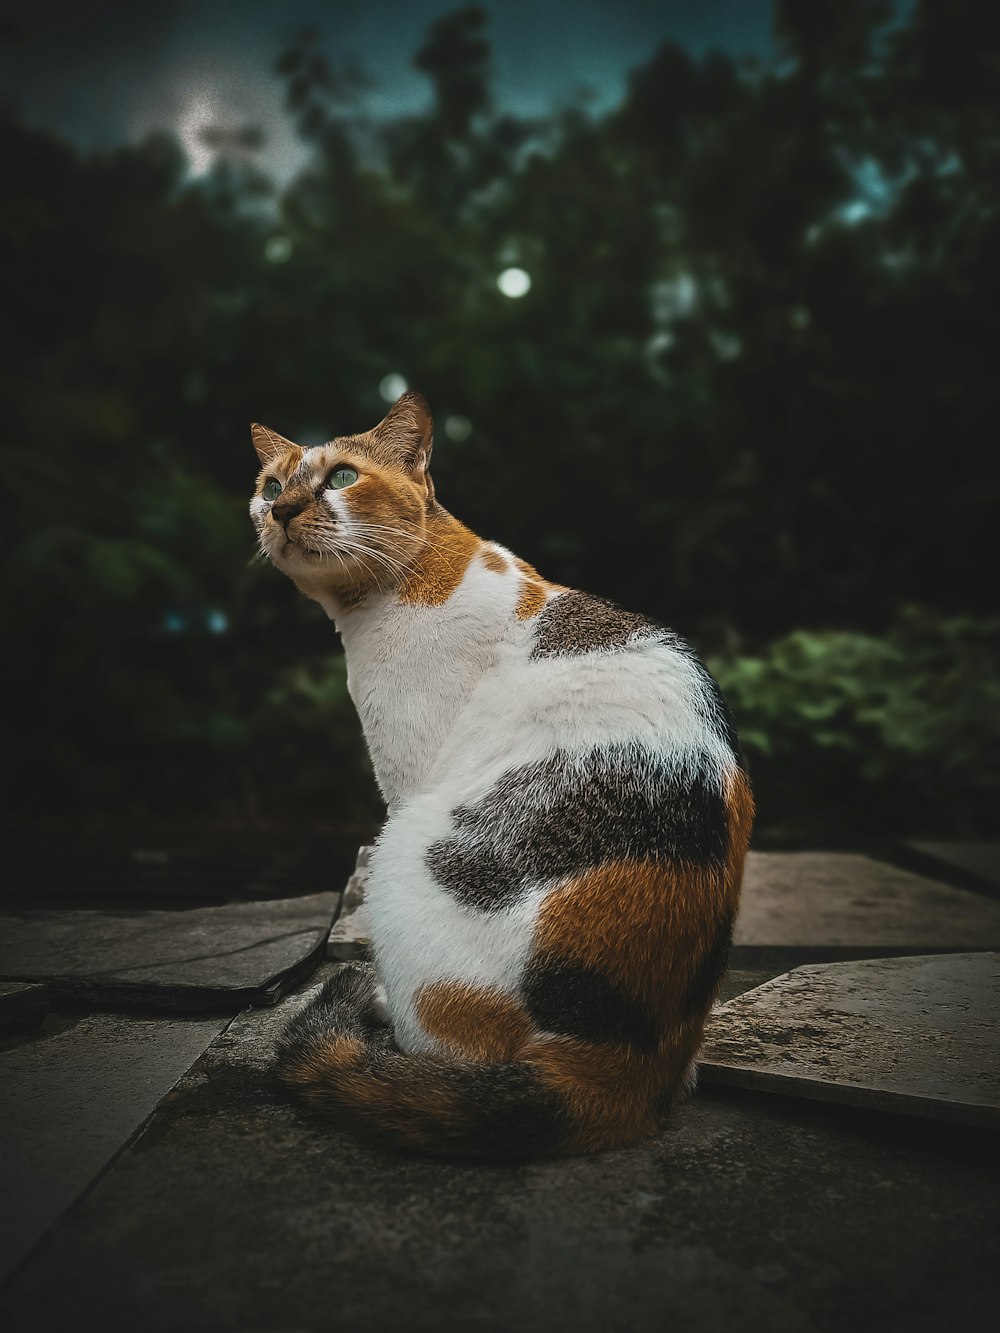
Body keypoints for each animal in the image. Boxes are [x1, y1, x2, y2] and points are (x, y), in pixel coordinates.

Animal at [250, 389, 752, 1162]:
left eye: (341, 478)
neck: (410, 577)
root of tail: (616, 1072)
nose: (282, 510)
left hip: (403, 847)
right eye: (272, 485)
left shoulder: (408, 772)